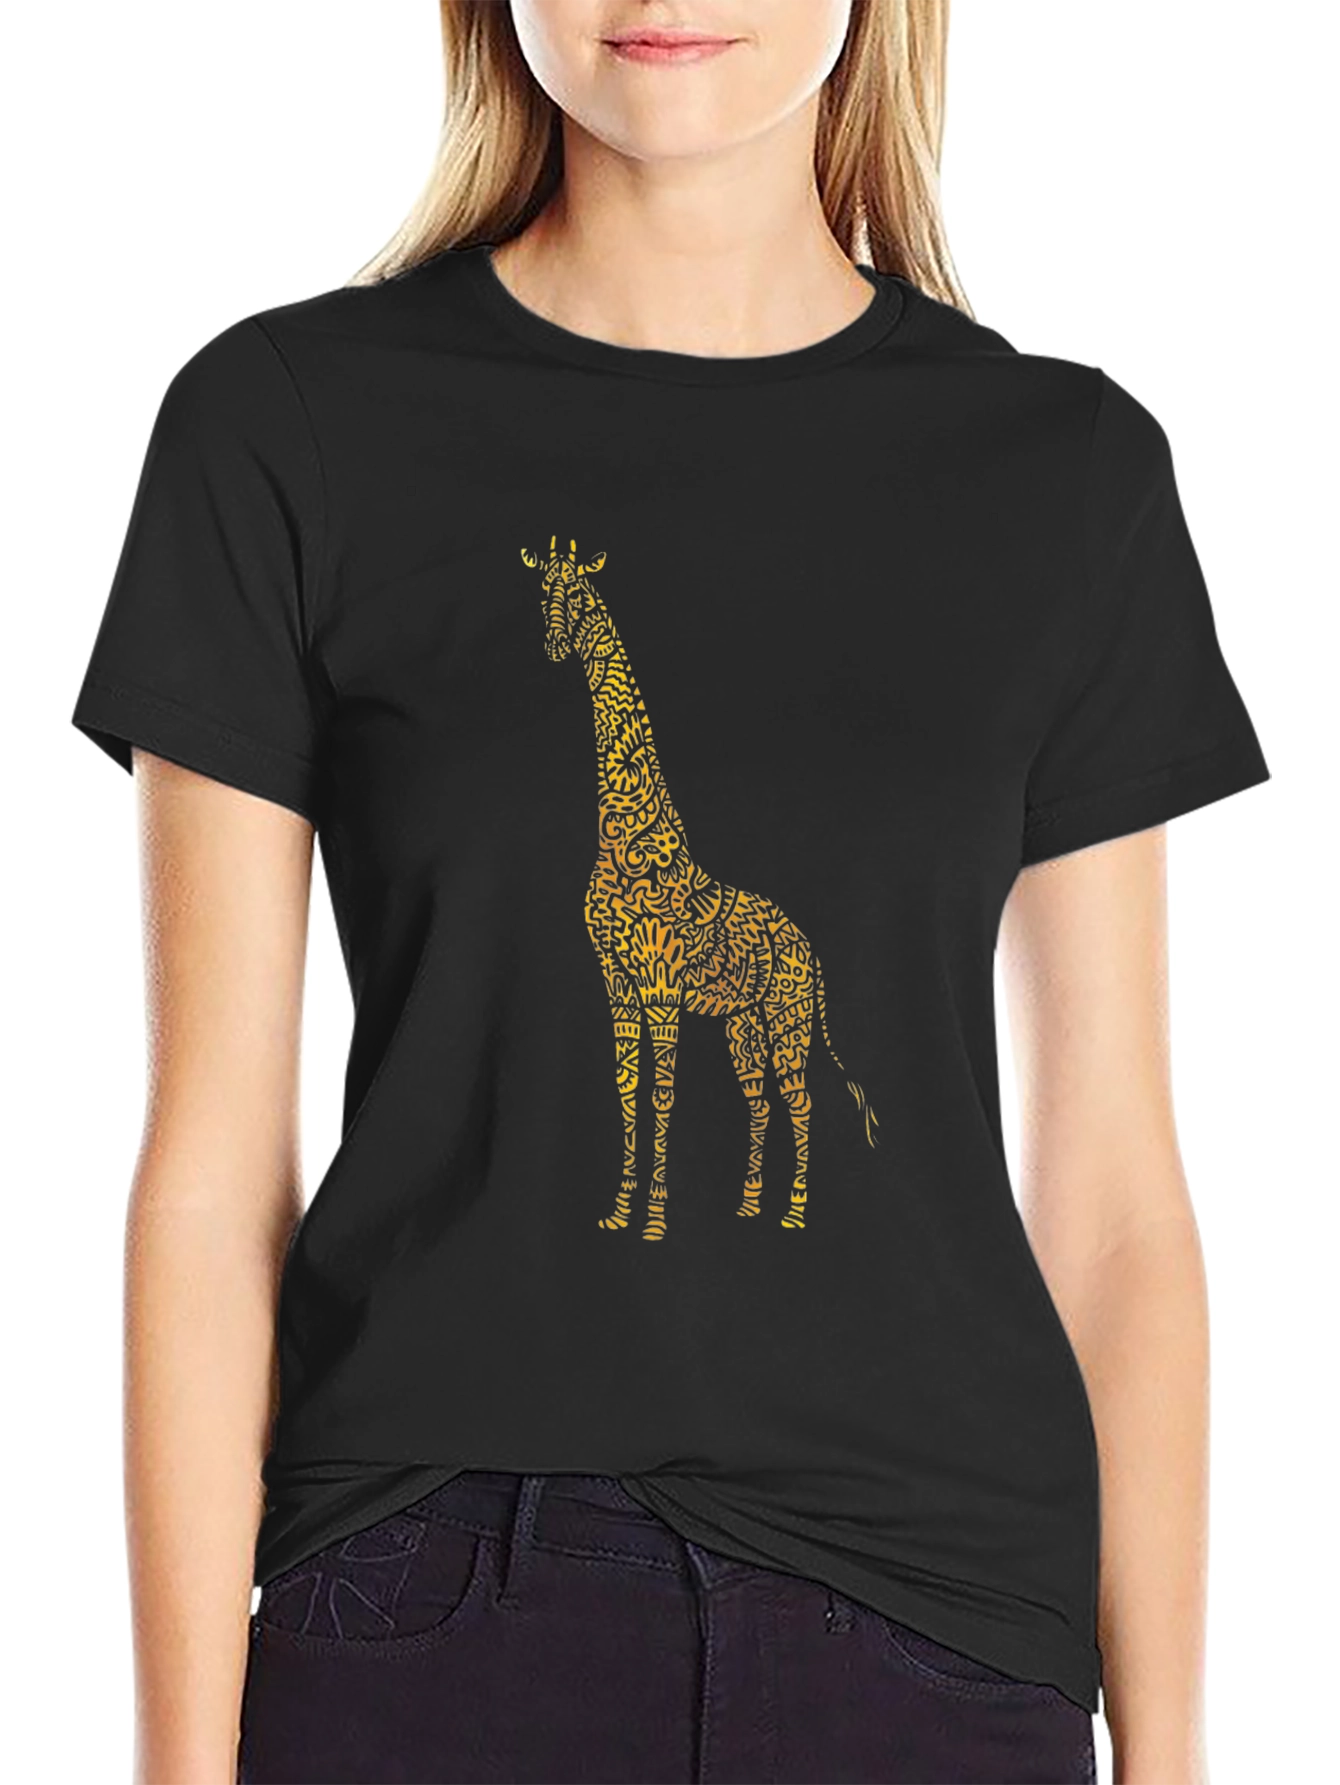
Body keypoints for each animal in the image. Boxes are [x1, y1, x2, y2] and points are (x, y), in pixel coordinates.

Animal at [521, 537, 876, 1239]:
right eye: (544, 591)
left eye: (581, 596)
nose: (553, 645)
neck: (624, 834)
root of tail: (810, 952)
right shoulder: (618, 986)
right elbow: (627, 1091)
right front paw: (619, 1211)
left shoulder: (663, 991)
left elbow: (662, 1094)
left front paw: (656, 1220)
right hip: (744, 1024)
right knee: (762, 1102)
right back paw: (748, 1208)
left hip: (788, 1018)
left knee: (802, 1101)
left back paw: (794, 1213)